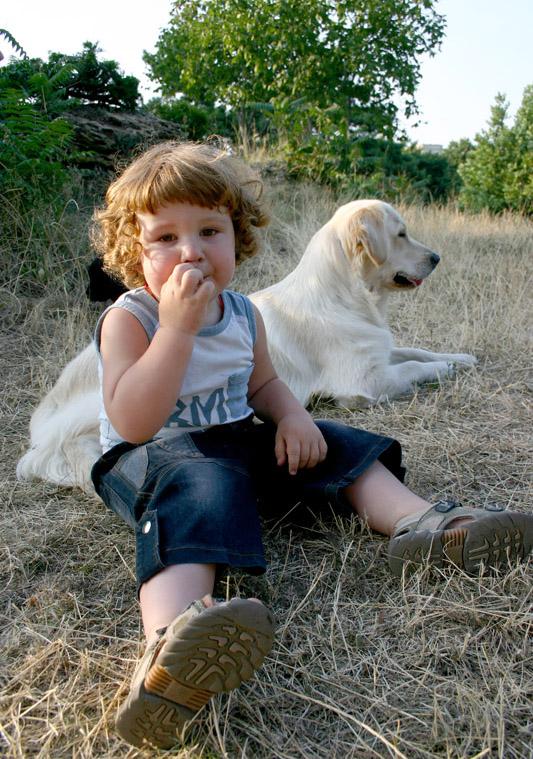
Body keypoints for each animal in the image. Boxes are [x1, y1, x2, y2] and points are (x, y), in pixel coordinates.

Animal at [15, 199, 474, 492]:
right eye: (401, 234)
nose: (436, 258)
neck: (349, 295)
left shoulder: (379, 350)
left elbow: (417, 351)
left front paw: (462, 357)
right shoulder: (364, 381)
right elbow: (414, 367)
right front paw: (445, 370)